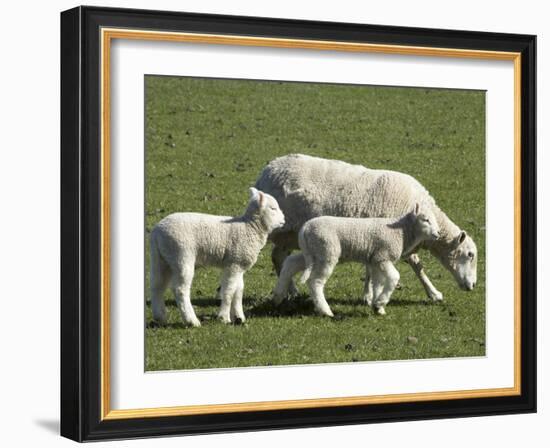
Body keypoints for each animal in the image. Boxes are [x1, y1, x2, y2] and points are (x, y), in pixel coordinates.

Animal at [152, 187, 288, 328]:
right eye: (273, 208)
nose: (284, 220)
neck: (249, 227)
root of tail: (157, 231)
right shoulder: (233, 264)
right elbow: (229, 291)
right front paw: (224, 317)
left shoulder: (238, 264)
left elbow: (239, 291)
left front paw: (239, 317)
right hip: (181, 255)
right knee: (180, 289)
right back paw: (191, 320)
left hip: (162, 258)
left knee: (157, 286)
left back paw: (160, 317)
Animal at [258, 152, 478, 302]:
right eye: (470, 255)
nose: (473, 285)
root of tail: (268, 170)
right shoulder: (390, 236)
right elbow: (417, 266)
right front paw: (434, 293)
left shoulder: (374, 238)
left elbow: (372, 267)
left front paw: (368, 294)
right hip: (281, 228)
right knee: (276, 256)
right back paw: (291, 291)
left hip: (289, 235)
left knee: (278, 256)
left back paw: (291, 291)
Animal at [296, 205, 442, 316]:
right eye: (426, 220)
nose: (438, 233)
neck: (402, 232)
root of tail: (305, 228)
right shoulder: (383, 256)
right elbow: (395, 277)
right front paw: (381, 301)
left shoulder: (376, 260)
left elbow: (378, 283)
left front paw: (378, 307)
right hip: (326, 251)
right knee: (315, 282)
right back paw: (326, 310)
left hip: (314, 253)